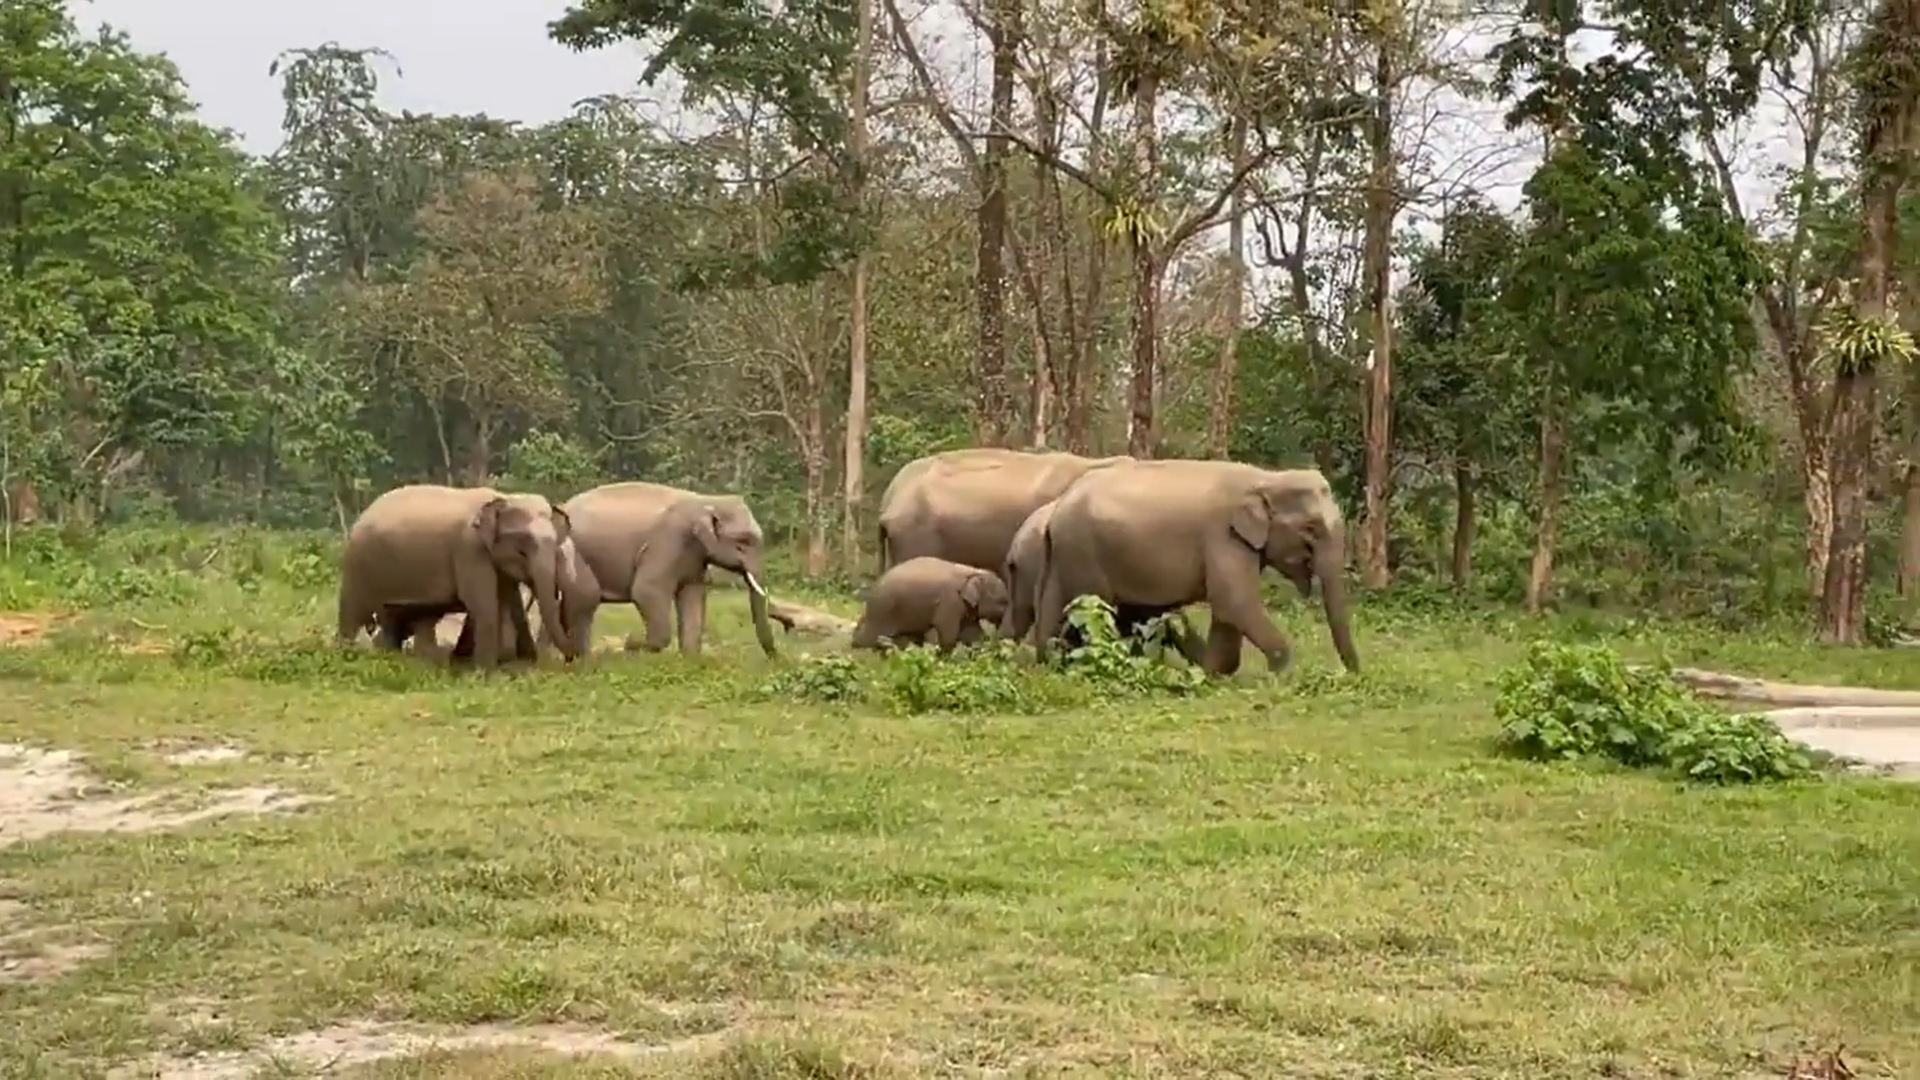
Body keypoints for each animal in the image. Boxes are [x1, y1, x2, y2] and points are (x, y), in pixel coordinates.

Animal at [337, 485, 576, 671]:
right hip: (357, 566)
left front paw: (521, 666)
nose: (571, 659)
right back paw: (345, 656)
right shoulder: (469, 549)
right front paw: (486, 673)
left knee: (405, 618)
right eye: (522, 549)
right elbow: (484, 606)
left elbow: (510, 601)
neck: (501, 497)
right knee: (352, 613)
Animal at [560, 481, 778, 657]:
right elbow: (646, 590)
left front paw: (690, 659)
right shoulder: (666, 544)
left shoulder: (694, 558)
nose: (775, 658)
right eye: (742, 543)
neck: (705, 500)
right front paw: (630, 644)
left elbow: (693, 596)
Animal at [852, 556, 1011, 653]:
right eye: (1003, 601)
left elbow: (972, 633)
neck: (973, 571)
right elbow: (948, 634)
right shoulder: (950, 601)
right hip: (884, 608)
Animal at [1033, 460, 1360, 676]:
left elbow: (1229, 610)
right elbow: (1234, 601)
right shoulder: (1222, 536)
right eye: (1311, 529)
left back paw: (1045, 665)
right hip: (1084, 552)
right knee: (1092, 610)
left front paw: (1214, 675)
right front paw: (1282, 675)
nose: (1354, 674)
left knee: (1057, 609)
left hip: (1067, 556)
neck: (1265, 478)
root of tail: (1057, 508)